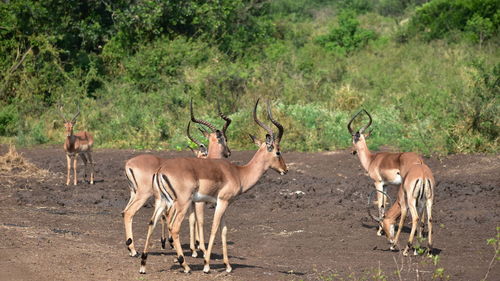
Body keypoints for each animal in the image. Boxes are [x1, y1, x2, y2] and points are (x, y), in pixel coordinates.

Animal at [122, 99, 231, 258]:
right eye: (225, 139)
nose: (229, 153)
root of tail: (128, 163)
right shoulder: (197, 202)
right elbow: (199, 220)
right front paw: (201, 250)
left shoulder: (190, 202)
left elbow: (191, 219)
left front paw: (193, 249)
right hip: (144, 195)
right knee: (130, 213)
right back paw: (134, 250)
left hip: (135, 194)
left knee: (125, 212)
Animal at [140, 99, 290, 274]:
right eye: (278, 152)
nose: (285, 170)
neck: (239, 173)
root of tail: (161, 170)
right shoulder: (221, 202)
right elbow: (213, 228)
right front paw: (206, 265)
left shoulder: (224, 203)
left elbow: (223, 230)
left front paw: (228, 266)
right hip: (182, 203)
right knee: (174, 227)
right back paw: (186, 266)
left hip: (162, 201)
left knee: (152, 223)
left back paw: (143, 265)